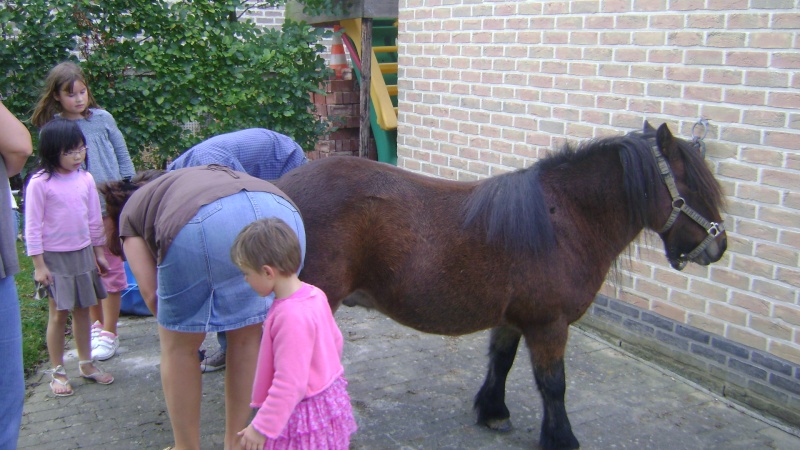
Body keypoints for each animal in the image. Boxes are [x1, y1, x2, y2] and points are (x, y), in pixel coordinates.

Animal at [276, 121, 724, 448]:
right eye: (693, 187)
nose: (718, 247)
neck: (564, 219)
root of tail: (281, 192)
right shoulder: (549, 325)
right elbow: (553, 385)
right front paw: (561, 438)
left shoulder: (513, 318)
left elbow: (501, 362)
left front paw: (493, 412)